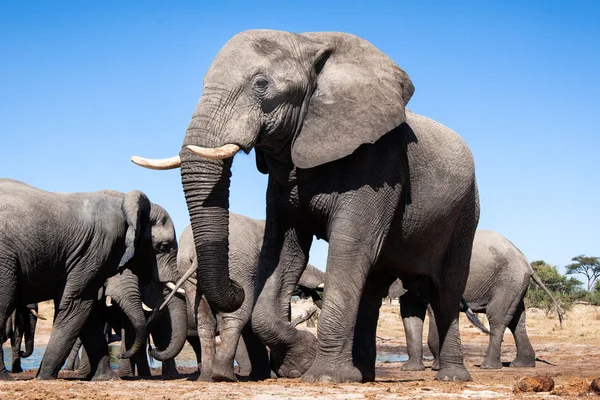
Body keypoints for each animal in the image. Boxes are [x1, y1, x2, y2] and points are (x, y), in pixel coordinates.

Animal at [0, 179, 180, 382]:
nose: (121, 354)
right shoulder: (93, 251)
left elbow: (87, 313)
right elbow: (76, 305)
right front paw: (44, 377)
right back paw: (5, 377)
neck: (123, 204)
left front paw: (107, 378)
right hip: (5, 260)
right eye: (164, 247)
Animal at [134, 29, 480, 382]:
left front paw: (323, 376)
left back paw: (451, 377)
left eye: (261, 84)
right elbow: (284, 252)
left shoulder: (379, 165)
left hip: (466, 209)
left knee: (447, 290)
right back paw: (363, 375)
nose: (237, 285)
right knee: (372, 288)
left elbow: (350, 247)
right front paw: (298, 365)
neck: (308, 41)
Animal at [400, 231, 564, 372]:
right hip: (514, 284)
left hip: (507, 281)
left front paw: (436, 368)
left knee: (497, 317)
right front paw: (411, 369)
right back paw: (521, 365)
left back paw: (488, 366)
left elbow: (435, 311)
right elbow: (410, 312)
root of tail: (527, 263)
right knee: (517, 321)